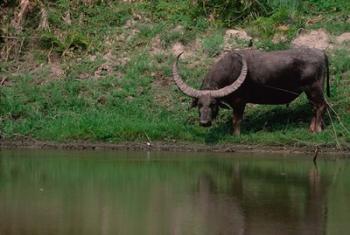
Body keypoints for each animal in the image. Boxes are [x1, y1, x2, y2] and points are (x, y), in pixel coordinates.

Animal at [173, 48, 330, 135]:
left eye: (213, 104)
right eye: (199, 104)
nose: (204, 123)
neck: (231, 71)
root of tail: (321, 53)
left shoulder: (239, 102)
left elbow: (236, 119)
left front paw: (235, 135)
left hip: (314, 88)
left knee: (321, 106)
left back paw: (318, 130)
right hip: (310, 92)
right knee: (315, 107)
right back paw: (312, 129)